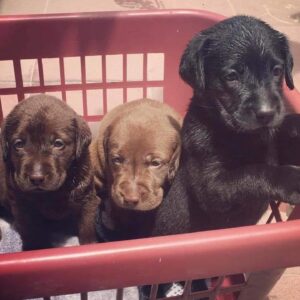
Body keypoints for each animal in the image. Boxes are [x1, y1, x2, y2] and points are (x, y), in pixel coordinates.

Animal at [0, 95, 99, 250]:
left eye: (58, 143)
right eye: (19, 144)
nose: (36, 178)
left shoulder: (87, 199)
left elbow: (87, 226)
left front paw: (90, 246)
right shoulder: (22, 207)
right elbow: (31, 231)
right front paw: (35, 249)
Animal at [151, 15, 300, 237]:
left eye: (277, 71)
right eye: (232, 76)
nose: (267, 113)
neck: (240, 136)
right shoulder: (212, 185)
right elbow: (254, 172)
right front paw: (291, 180)